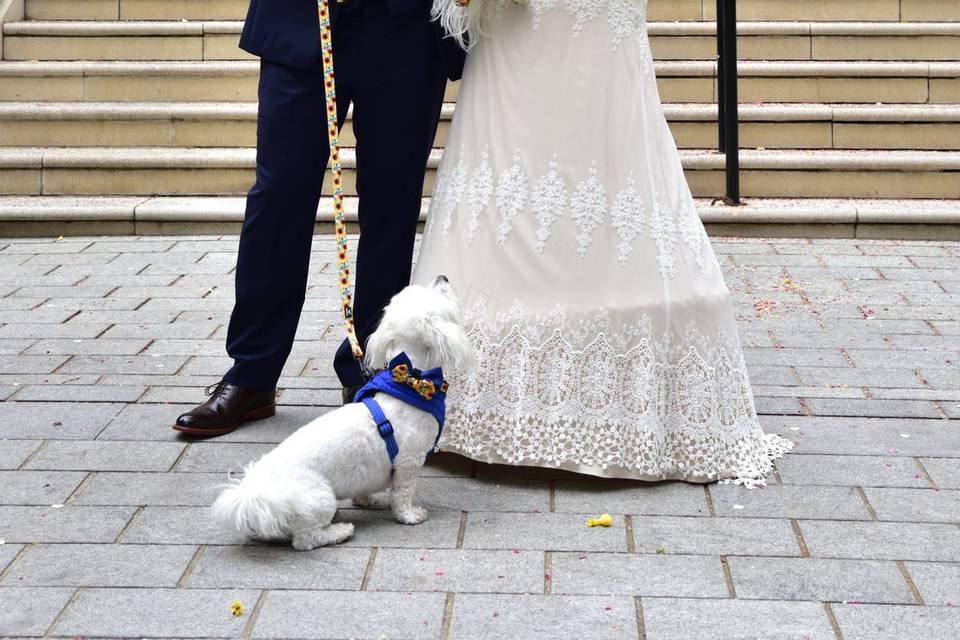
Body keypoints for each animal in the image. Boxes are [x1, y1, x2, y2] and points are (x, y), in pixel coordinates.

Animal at [214, 278, 476, 552]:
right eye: (438, 293)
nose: (443, 277)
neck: (410, 382)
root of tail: (258, 494)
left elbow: (370, 488)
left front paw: (369, 500)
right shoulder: (408, 461)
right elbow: (403, 494)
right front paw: (409, 515)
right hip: (320, 499)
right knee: (305, 539)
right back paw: (340, 531)